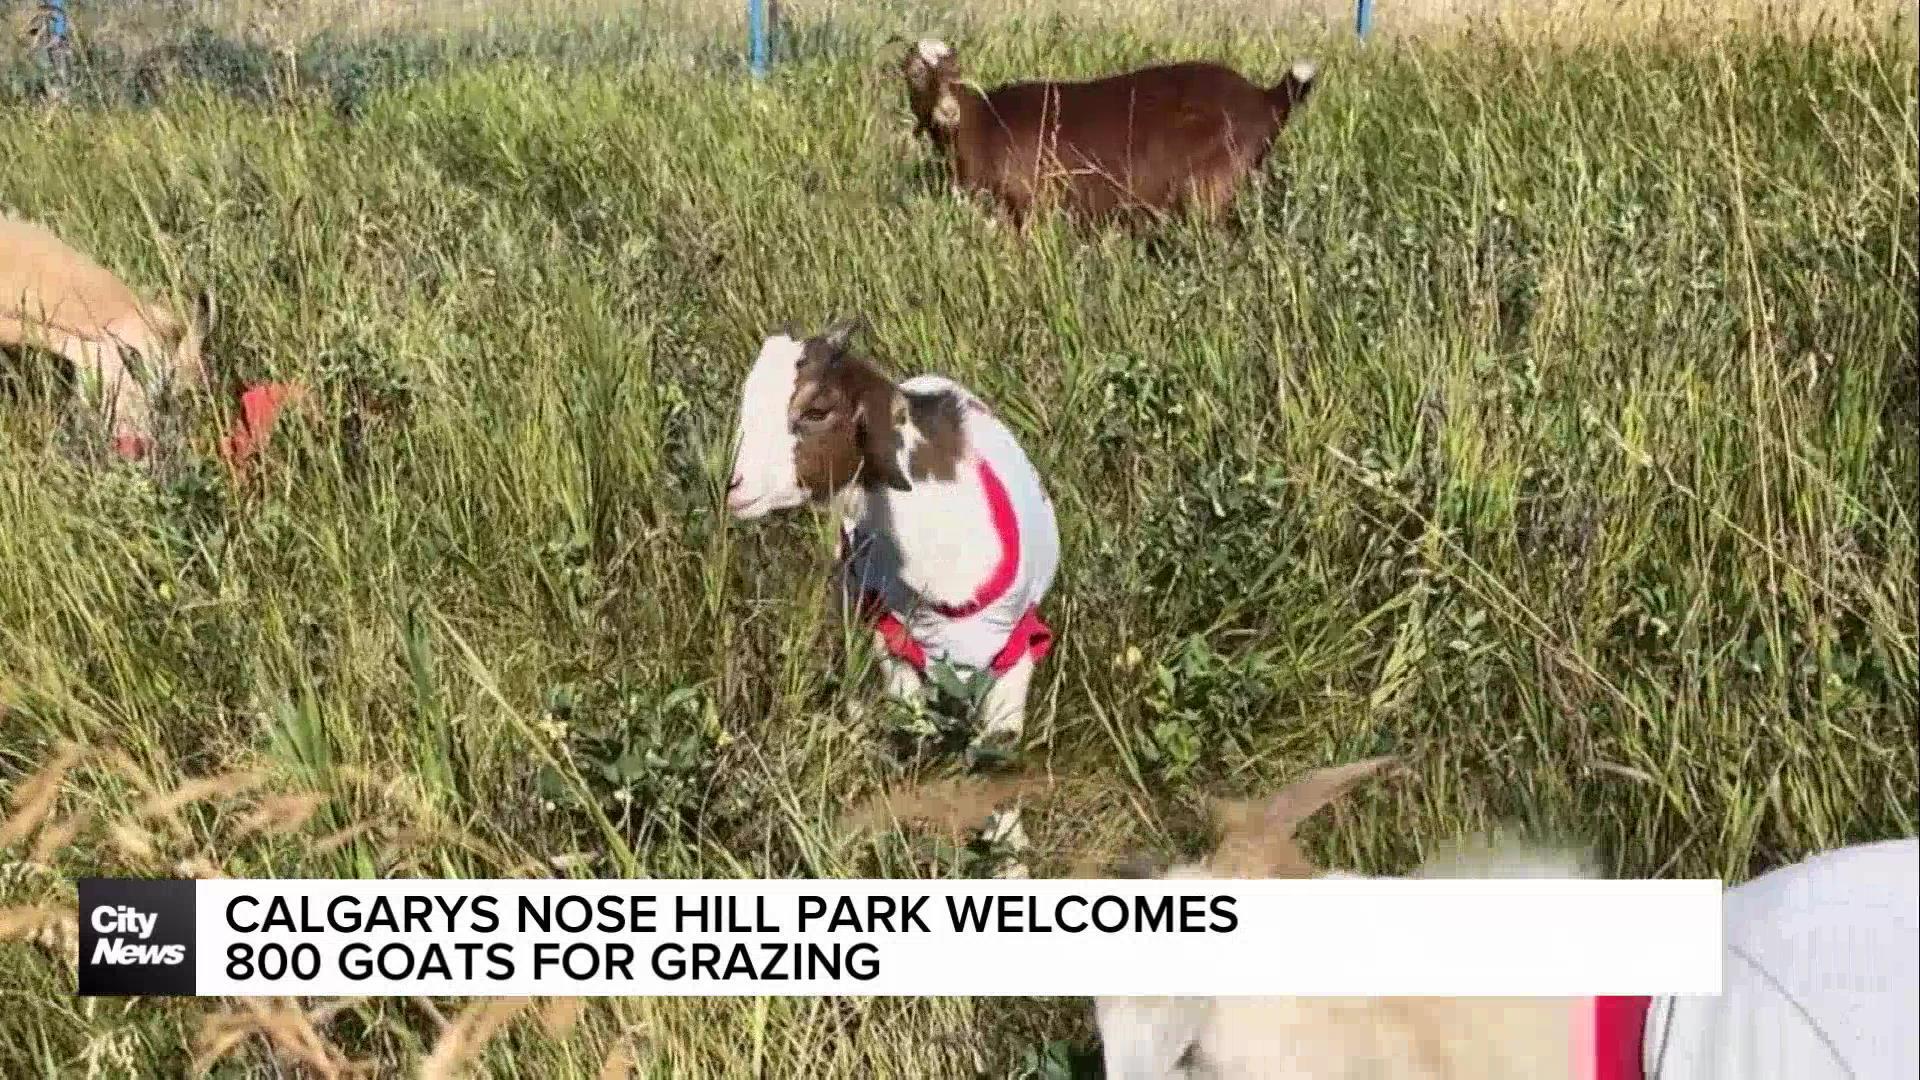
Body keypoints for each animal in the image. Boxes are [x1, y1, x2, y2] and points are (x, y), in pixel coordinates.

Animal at [902, 39, 1320, 224]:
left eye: (956, 73)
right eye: (915, 74)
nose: (947, 111)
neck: (983, 121)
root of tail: (1266, 98)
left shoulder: (1027, 206)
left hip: (1210, 187)